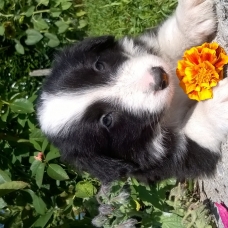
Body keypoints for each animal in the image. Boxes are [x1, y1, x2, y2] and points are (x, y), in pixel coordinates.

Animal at [36, 0, 227, 183]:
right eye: (107, 120)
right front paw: (218, 103)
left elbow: (165, 43)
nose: (160, 77)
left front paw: (191, 15)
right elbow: (194, 134)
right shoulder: (171, 161)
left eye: (99, 65)